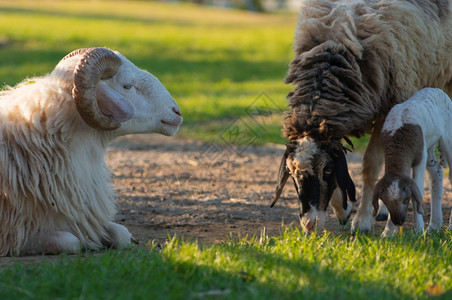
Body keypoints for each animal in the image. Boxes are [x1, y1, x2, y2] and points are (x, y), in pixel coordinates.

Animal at [370, 88, 452, 238]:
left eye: (406, 200)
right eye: (385, 202)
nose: (399, 222)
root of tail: (437, 89)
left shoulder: (420, 157)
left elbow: (418, 189)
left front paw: (418, 229)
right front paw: (388, 231)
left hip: (448, 136)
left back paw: (448, 226)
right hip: (429, 145)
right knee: (436, 173)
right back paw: (434, 225)